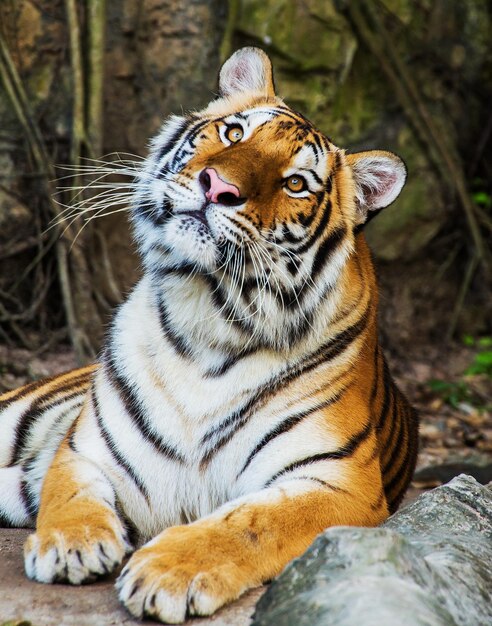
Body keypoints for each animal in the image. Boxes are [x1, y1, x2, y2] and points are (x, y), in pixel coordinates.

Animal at [0, 47, 418, 620]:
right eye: (234, 132)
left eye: (296, 183)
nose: (218, 187)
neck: (209, 317)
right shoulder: (85, 448)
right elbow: (70, 494)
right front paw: (71, 543)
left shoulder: (339, 484)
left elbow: (252, 522)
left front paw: (168, 572)